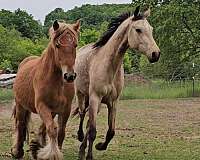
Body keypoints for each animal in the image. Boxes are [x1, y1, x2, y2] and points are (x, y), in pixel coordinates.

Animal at [11, 19, 80, 159]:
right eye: (57, 45)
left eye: (75, 45)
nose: (69, 76)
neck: (57, 82)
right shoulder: (42, 106)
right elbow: (52, 130)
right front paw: (52, 154)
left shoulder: (65, 109)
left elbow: (60, 132)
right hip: (21, 105)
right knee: (20, 125)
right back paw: (18, 151)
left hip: (51, 111)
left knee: (42, 127)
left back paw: (35, 146)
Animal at [73, 6, 161, 160]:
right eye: (138, 29)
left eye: (151, 29)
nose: (155, 54)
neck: (109, 66)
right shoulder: (95, 98)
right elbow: (93, 132)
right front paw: (90, 155)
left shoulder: (113, 102)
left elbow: (111, 131)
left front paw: (100, 146)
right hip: (82, 95)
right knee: (82, 114)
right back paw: (80, 137)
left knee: (88, 121)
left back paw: (82, 149)